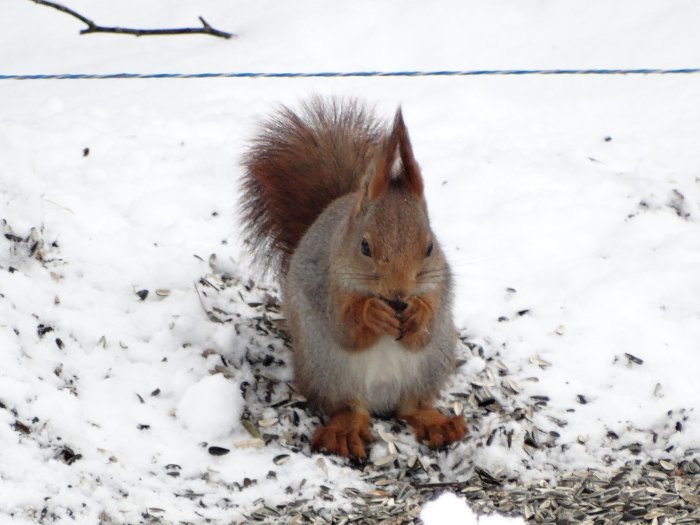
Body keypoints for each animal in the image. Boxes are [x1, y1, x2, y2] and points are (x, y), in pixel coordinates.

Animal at [241, 96, 464, 456]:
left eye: (430, 246)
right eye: (364, 246)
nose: (399, 292)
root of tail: (381, 400)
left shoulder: (439, 286)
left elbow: (424, 331)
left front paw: (419, 313)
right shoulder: (327, 285)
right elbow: (346, 327)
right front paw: (372, 313)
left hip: (432, 363)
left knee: (412, 405)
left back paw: (437, 423)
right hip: (327, 368)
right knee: (349, 407)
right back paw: (345, 431)